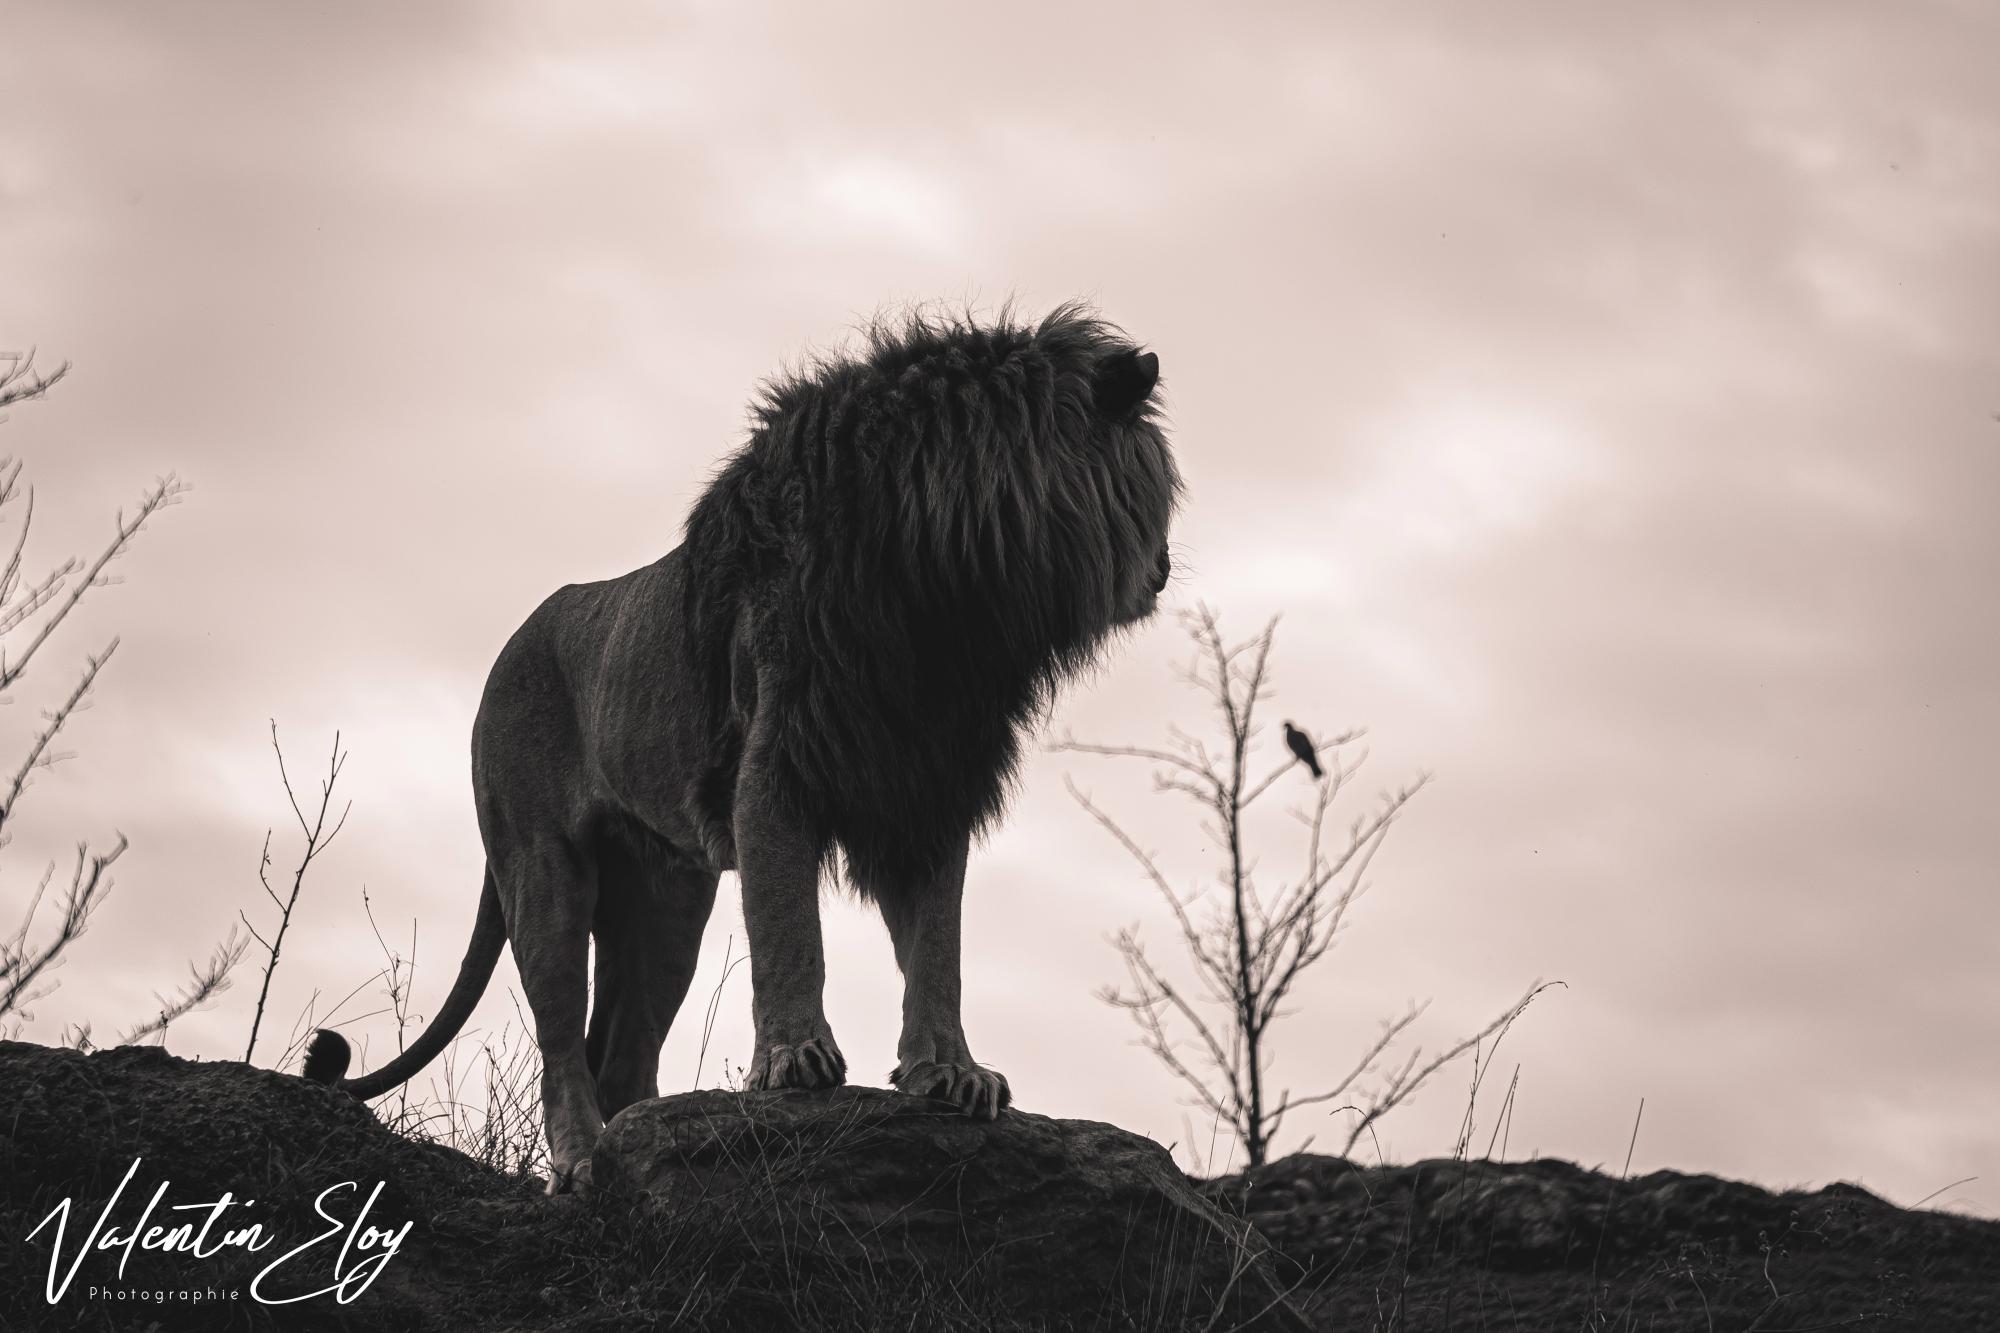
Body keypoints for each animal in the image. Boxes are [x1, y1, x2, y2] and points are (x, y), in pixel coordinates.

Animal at [304, 303, 1180, 1192]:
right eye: (1160, 489)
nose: (1167, 569)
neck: (950, 603)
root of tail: (505, 650)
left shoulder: (928, 791)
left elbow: (940, 946)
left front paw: (949, 1072)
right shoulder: (775, 771)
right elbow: (790, 928)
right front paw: (795, 1059)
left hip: (666, 900)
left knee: (619, 1052)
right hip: (543, 868)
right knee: (560, 1043)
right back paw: (582, 1164)